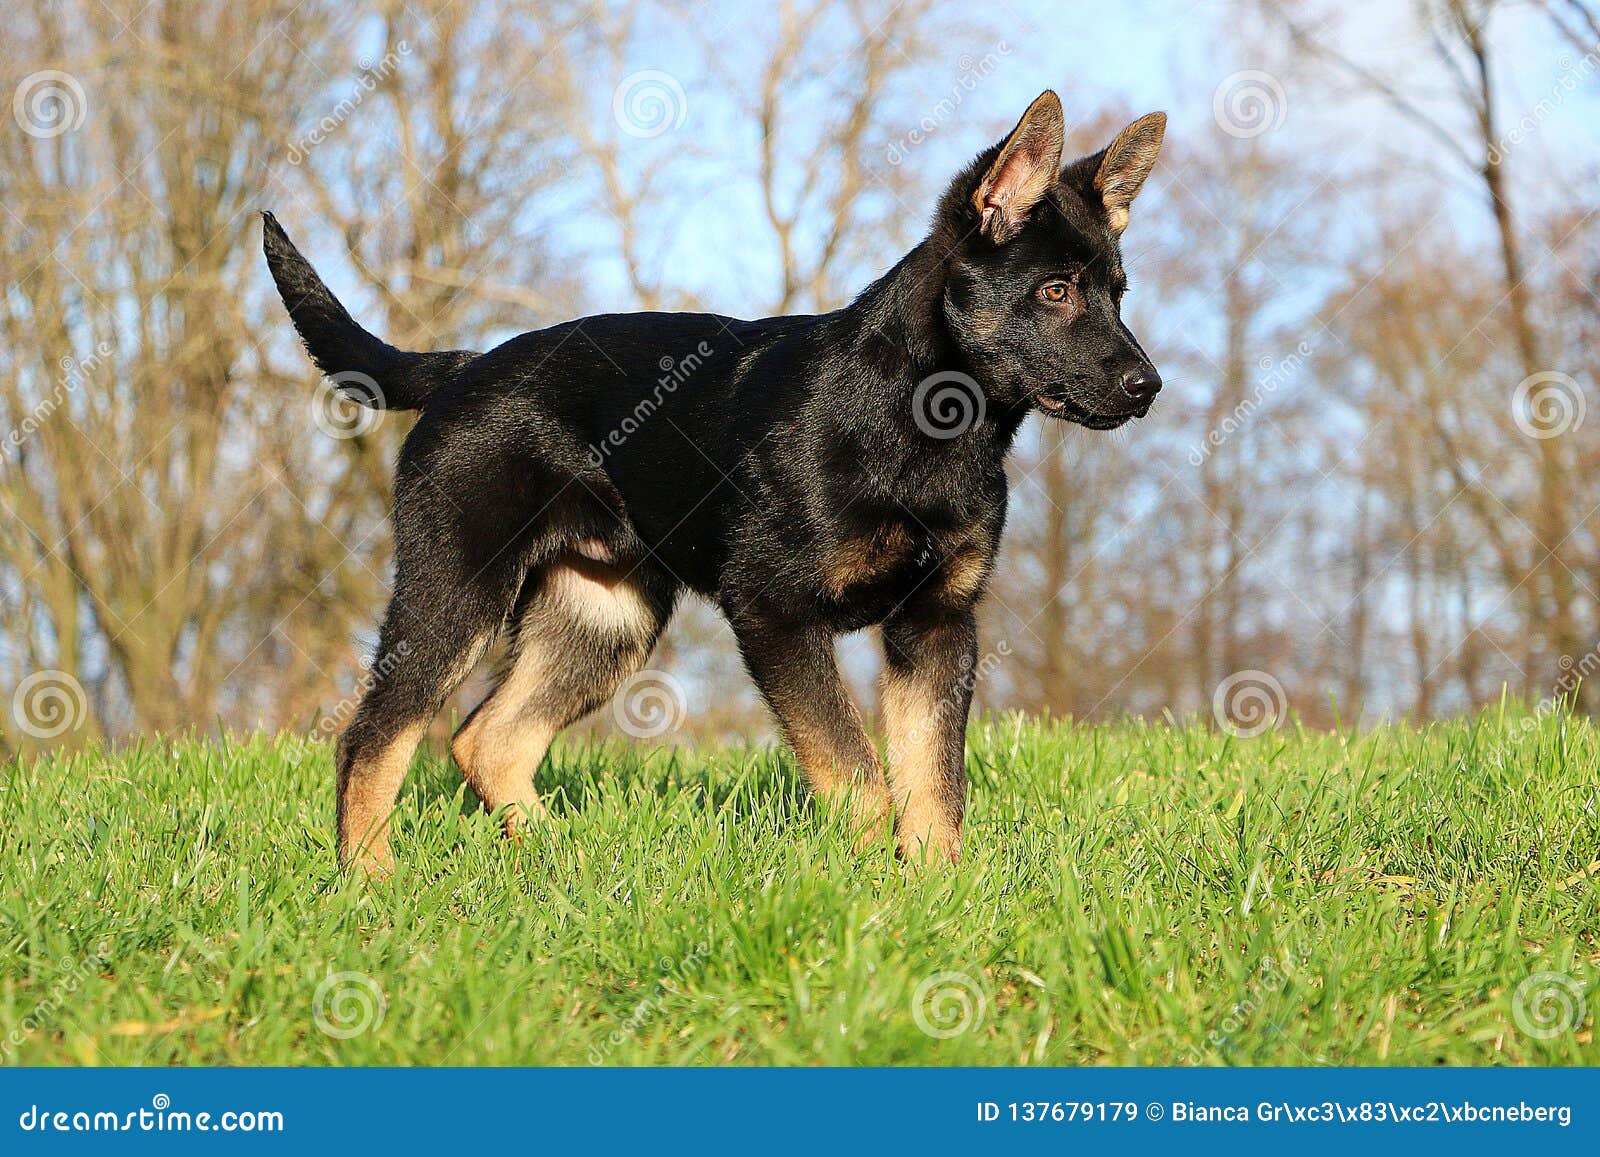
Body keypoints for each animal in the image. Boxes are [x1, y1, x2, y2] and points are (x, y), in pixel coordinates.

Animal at [262, 88, 1164, 870]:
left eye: (1118, 294)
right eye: (1056, 291)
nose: (1147, 386)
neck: (927, 418)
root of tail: (460, 367)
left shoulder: (937, 625)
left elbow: (933, 782)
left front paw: (936, 894)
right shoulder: (774, 608)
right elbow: (858, 772)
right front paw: (875, 882)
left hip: (604, 615)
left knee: (489, 737)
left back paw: (560, 862)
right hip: (457, 587)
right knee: (374, 733)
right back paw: (371, 879)